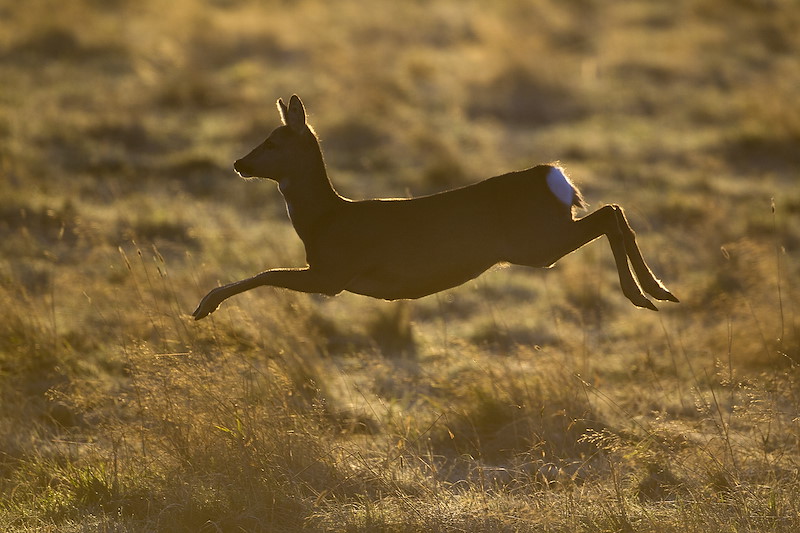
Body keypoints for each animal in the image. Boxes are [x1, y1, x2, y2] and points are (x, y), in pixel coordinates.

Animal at [192, 95, 678, 320]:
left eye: (273, 141)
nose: (239, 163)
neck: (324, 220)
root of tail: (554, 176)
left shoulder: (332, 274)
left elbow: (268, 272)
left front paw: (206, 304)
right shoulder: (329, 274)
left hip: (536, 244)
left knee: (609, 215)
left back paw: (645, 294)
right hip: (543, 239)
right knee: (614, 212)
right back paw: (658, 292)